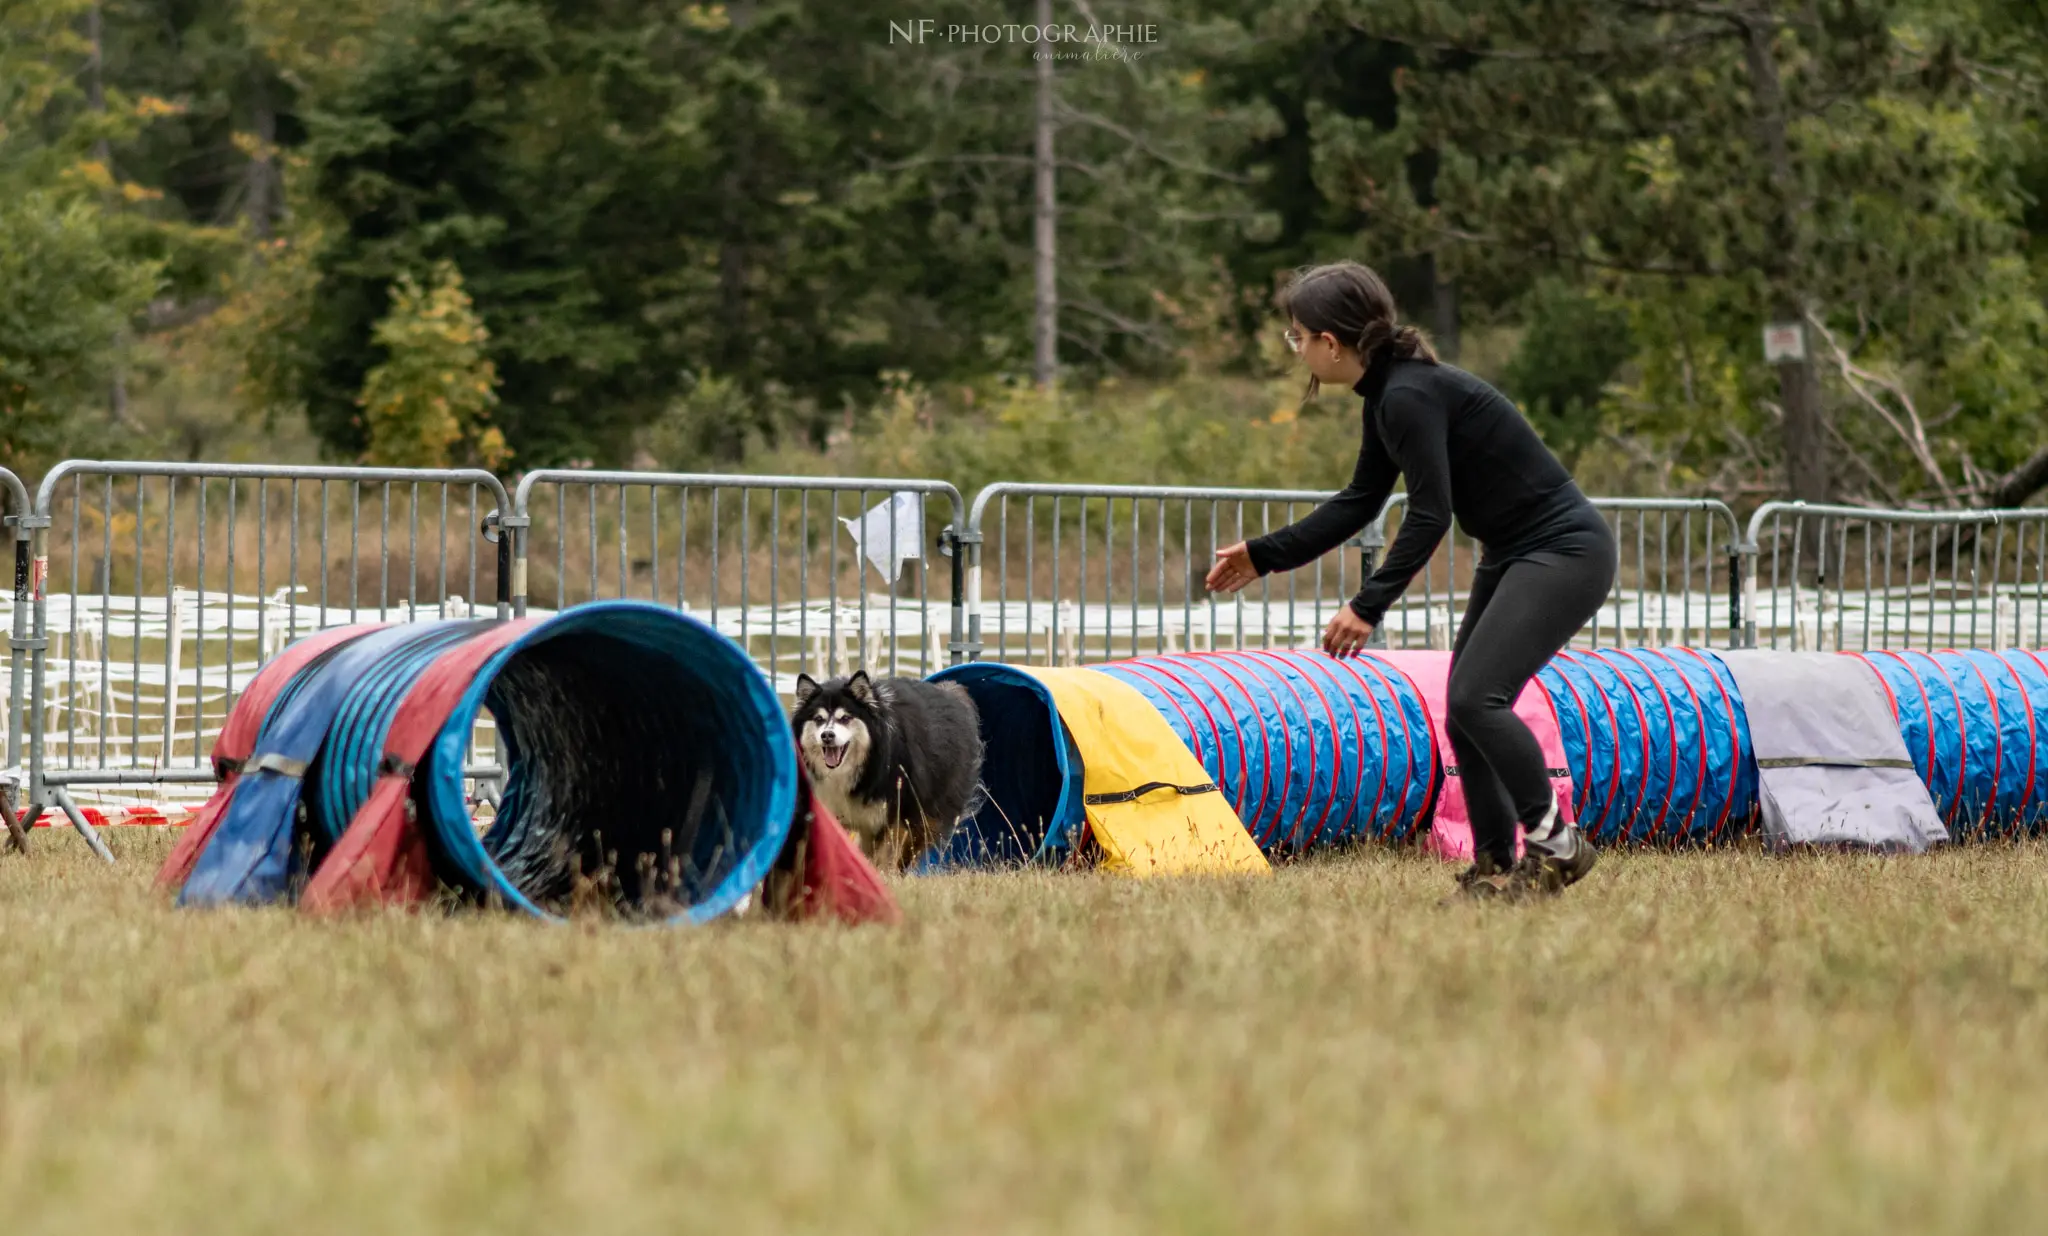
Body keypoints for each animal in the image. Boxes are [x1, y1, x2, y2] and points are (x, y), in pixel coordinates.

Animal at [790, 675, 983, 867]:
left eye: (845, 718)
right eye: (818, 719)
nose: (827, 736)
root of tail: (953, 693)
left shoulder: (892, 815)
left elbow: (884, 856)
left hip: (927, 812)